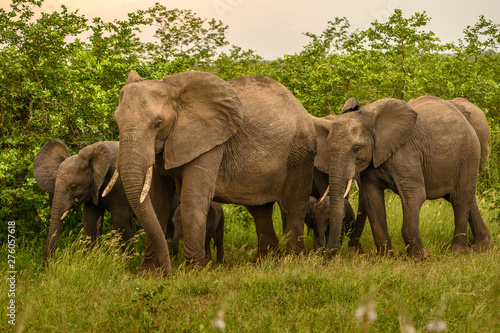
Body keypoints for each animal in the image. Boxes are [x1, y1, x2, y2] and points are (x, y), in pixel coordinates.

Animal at [111, 70, 316, 274]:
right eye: (117, 121)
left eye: (158, 124)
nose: (169, 271)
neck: (177, 95)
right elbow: (157, 201)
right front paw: (149, 274)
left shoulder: (210, 143)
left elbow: (193, 200)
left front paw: (194, 273)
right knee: (260, 211)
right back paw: (266, 263)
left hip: (299, 155)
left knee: (292, 208)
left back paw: (294, 262)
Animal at [312, 94, 492, 260]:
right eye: (328, 148)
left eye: (357, 149)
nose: (326, 256)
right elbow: (372, 199)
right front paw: (385, 258)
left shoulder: (405, 154)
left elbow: (414, 195)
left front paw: (419, 258)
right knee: (462, 197)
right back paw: (482, 246)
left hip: (469, 153)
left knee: (460, 198)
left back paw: (458, 252)